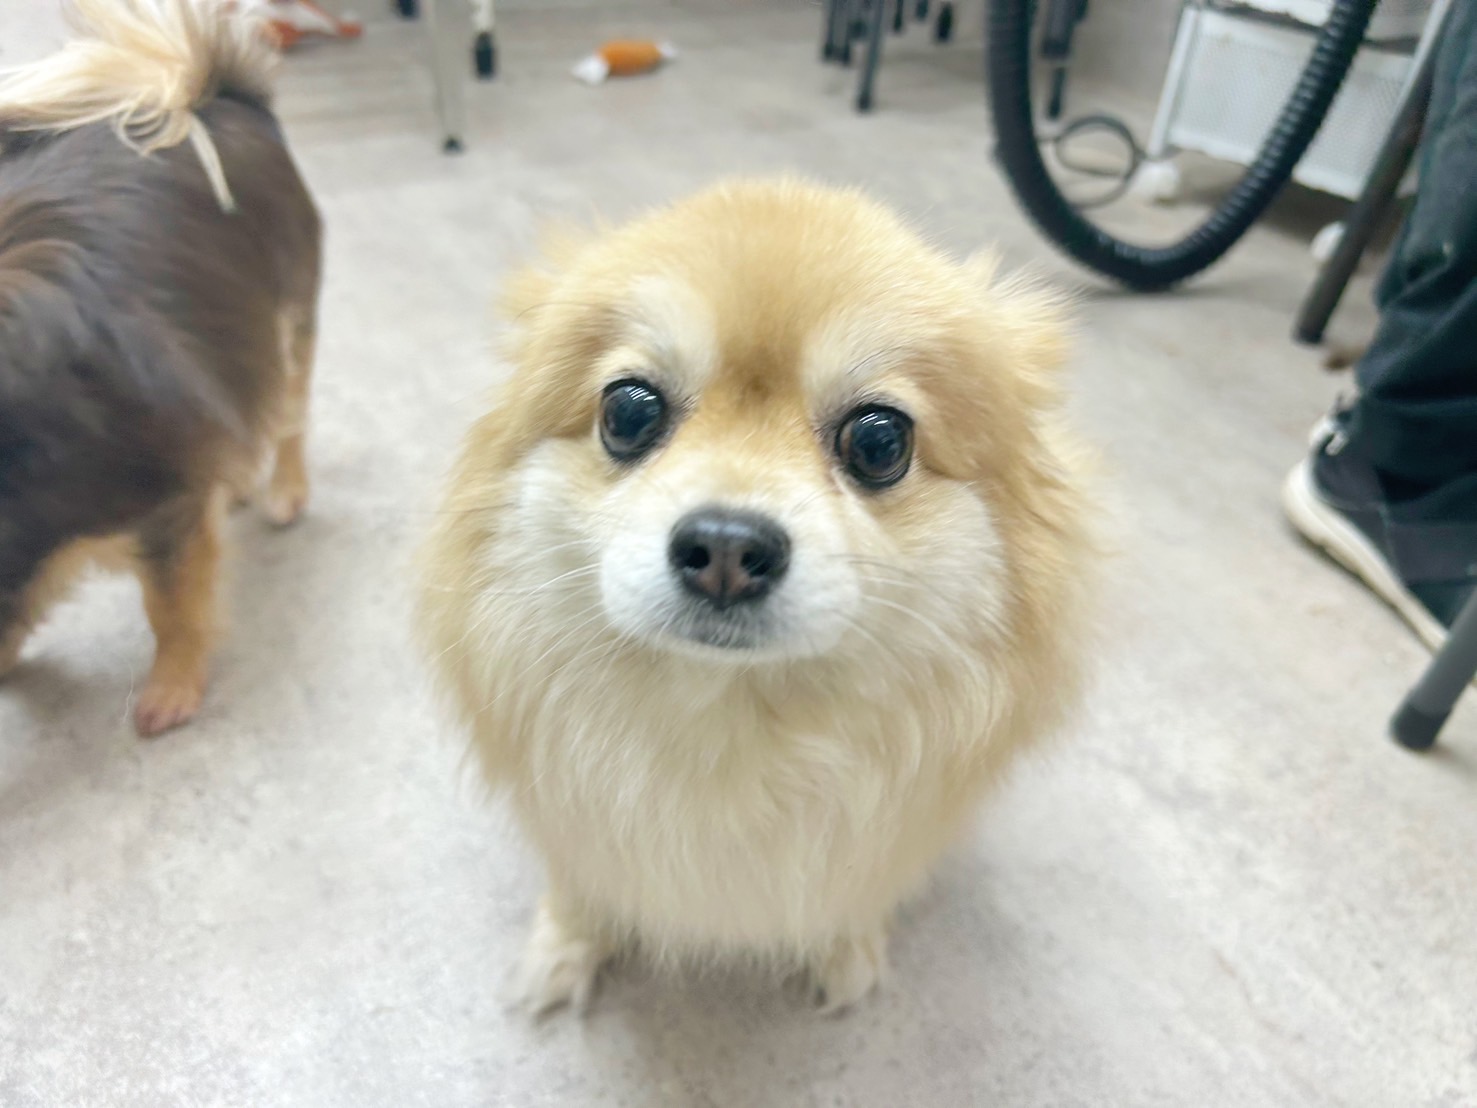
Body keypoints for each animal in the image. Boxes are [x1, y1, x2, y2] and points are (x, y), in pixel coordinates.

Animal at [0, 0, 321, 735]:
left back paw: (283, 491)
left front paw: (172, 685)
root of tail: (216, 97)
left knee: (286, 415)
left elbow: (172, 603)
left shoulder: (160, 498)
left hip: (284, 317)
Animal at [419, 179, 1095, 1012]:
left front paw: (845, 946)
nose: (726, 550)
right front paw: (565, 946)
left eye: (880, 442)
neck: (733, 719)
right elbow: (581, 882)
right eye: (627, 412)